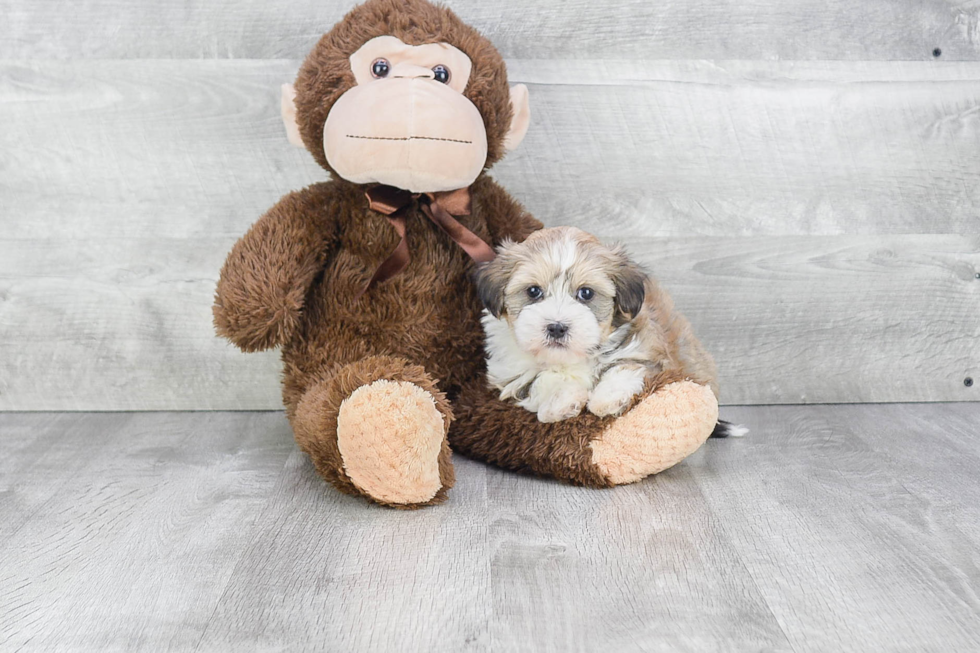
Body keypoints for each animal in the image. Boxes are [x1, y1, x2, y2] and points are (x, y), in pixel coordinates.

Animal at [474, 227, 744, 436]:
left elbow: (624, 367)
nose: (557, 327)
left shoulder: (645, 348)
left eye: (586, 293)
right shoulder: (511, 374)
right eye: (533, 291)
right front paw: (561, 401)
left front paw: (607, 399)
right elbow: (539, 380)